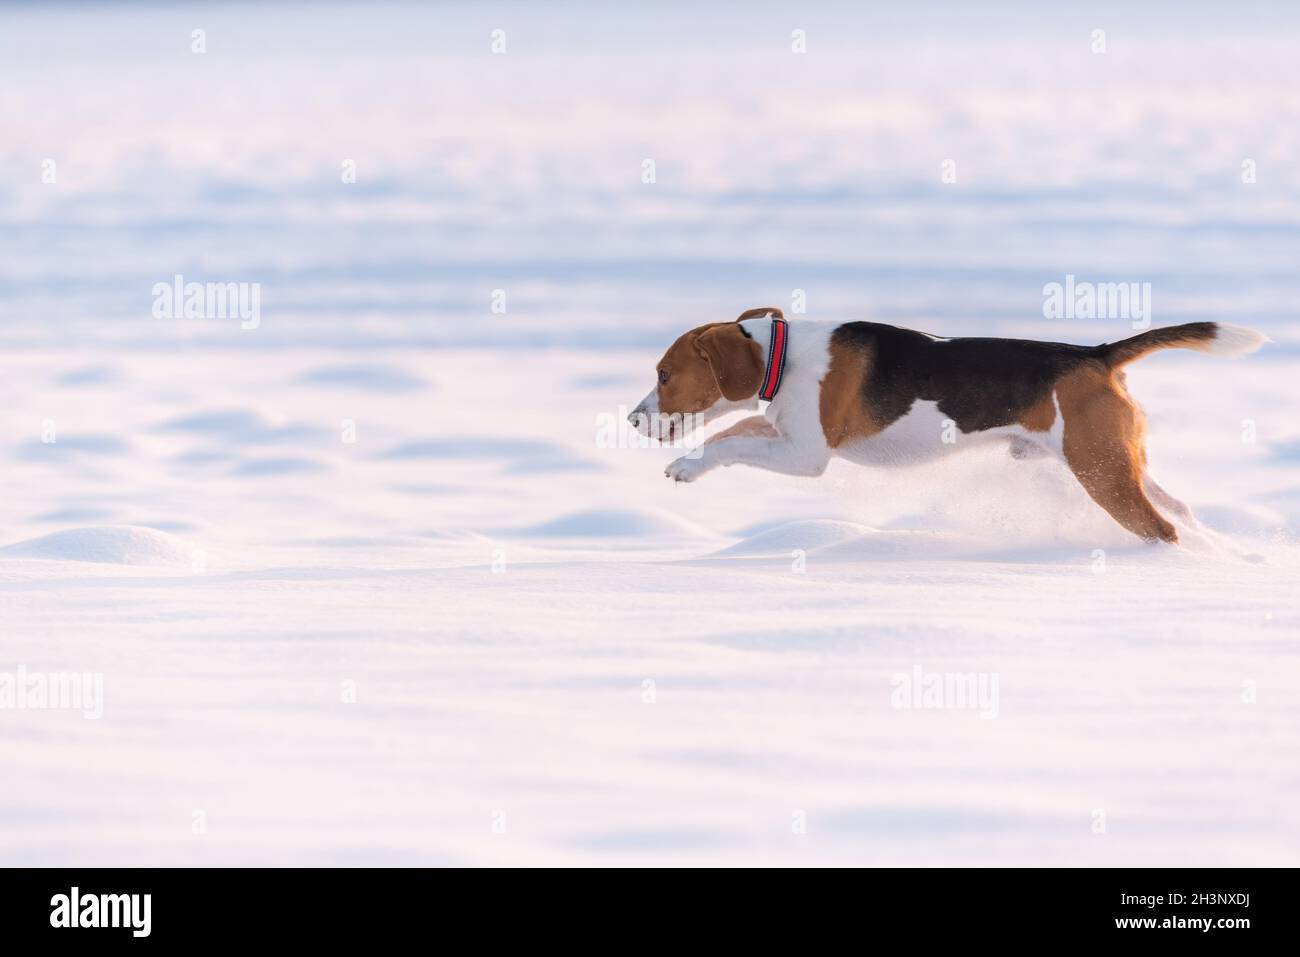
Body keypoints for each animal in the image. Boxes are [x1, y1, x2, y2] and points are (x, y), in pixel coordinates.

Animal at [631, 308, 1268, 546]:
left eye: (664, 374)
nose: (634, 419)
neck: (783, 358)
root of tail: (1094, 354)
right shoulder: (785, 435)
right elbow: (728, 434)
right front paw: (689, 463)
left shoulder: (806, 455)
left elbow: (728, 443)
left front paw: (687, 465)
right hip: (1120, 461)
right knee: (1180, 509)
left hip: (1101, 475)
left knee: (1162, 527)